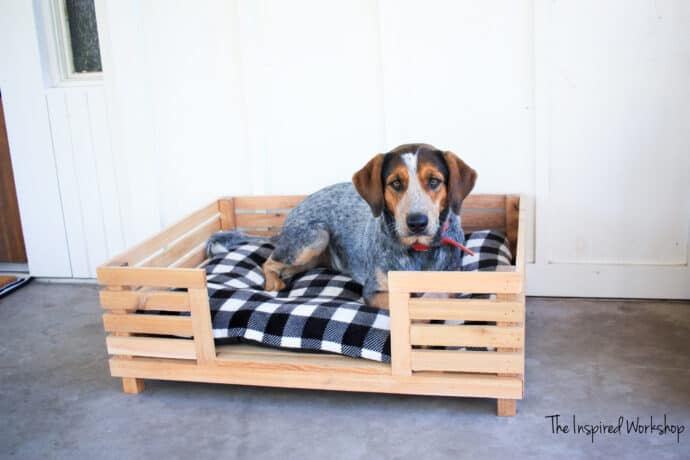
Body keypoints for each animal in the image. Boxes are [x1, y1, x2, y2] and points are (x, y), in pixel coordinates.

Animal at [260, 144, 476, 310]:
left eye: (434, 181)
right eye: (396, 183)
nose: (417, 222)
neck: (418, 250)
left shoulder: (453, 281)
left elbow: (435, 296)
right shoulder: (374, 291)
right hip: (316, 237)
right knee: (268, 262)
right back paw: (274, 282)